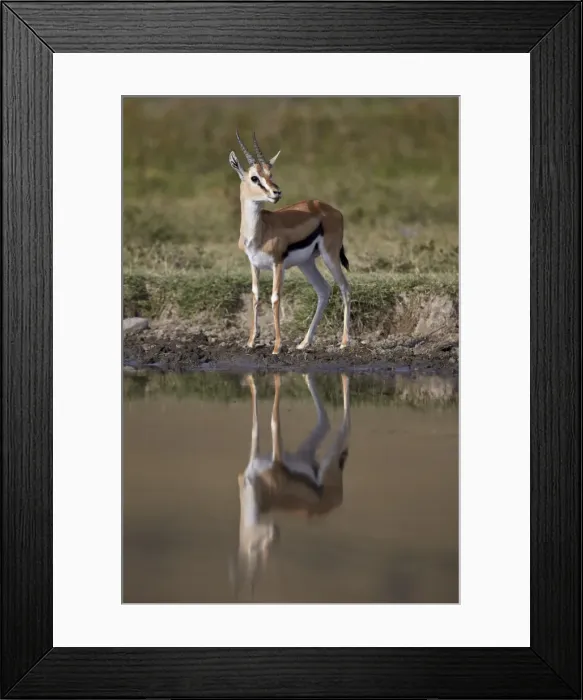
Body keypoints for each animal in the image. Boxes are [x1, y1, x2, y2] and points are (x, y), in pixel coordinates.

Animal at [228, 130, 351, 355]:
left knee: (345, 288)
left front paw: (277, 346)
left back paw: (345, 342)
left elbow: (275, 298)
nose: (276, 192)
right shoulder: (253, 264)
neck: (260, 231)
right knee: (324, 290)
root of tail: (332, 210)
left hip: (330, 256)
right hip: (306, 263)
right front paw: (251, 341)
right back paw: (304, 342)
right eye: (254, 177)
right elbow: (255, 296)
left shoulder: (277, 264)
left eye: (271, 174)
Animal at [231, 372, 351, 598]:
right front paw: (250, 381)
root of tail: (337, 500)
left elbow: (273, 421)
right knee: (326, 420)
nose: (274, 532)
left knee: (344, 424)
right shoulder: (256, 456)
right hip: (308, 451)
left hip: (326, 460)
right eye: (253, 548)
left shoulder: (276, 455)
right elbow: (256, 427)